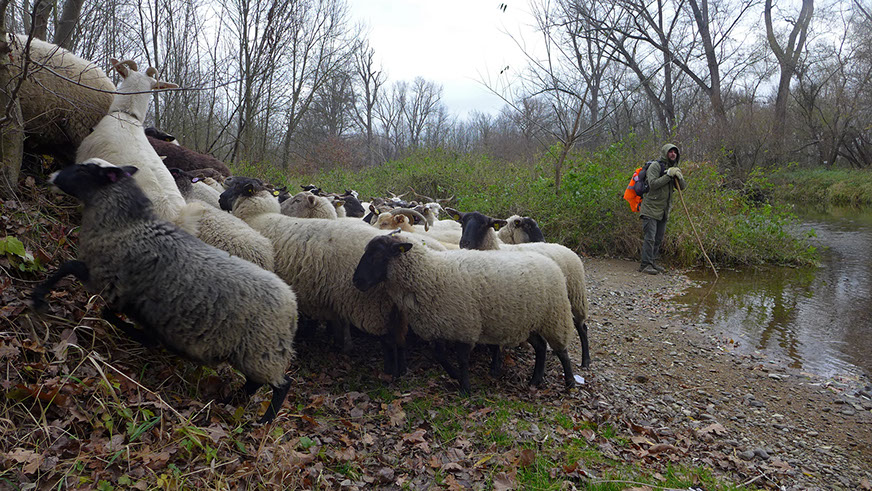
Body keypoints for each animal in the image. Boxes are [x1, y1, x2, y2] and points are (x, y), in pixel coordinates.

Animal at [31, 160, 298, 423]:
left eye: (84, 169)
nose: (53, 176)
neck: (126, 226)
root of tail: (292, 303)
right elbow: (119, 316)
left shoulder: (102, 277)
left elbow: (69, 268)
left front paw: (38, 298)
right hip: (254, 352)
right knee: (254, 384)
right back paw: (230, 401)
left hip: (261, 352)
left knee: (281, 385)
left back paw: (264, 420)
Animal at [219, 179, 411, 377]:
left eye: (238, 187)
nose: (220, 199)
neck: (259, 216)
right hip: (397, 307)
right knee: (400, 339)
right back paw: (401, 371)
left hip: (373, 304)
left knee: (389, 340)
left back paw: (390, 372)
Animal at [353, 232, 578, 392]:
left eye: (378, 255)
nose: (357, 281)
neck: (431, 274)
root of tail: (551, 263)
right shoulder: (439, 325)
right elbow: (440, 356)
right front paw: (455, 376)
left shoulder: (465, 325)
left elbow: (462, 358)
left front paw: (465, 388)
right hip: (528, 321)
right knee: (541, 347)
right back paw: (535, 380)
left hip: (554, 316)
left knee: (561, 350)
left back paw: (570, 382)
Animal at [446, 209, 591, 368]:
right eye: (462, 223)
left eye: (484, 225)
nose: (465, 243)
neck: (496, 248)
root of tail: (564, 247)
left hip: (574, 296)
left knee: (582, 327)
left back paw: (586, 360)